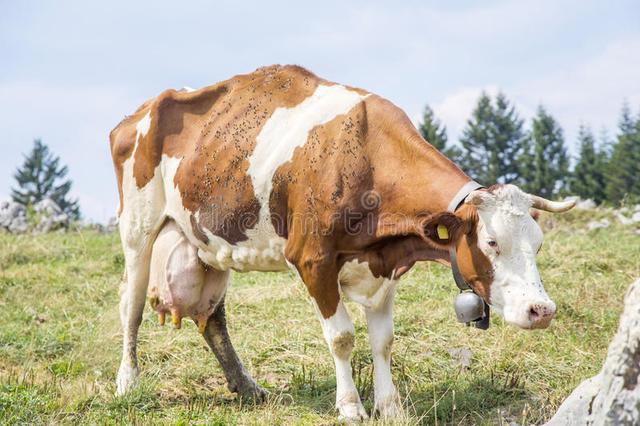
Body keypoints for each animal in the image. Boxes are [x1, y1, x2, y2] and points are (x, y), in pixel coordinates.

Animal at [110, 65, 576, 422]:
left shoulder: (385, 265)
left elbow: (383, 340)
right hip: (138, 228)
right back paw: (127, 382)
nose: (542, 310)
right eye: (492, 242)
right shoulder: (313, 260)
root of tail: (141, 112)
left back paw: (246, 386)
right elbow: (342, 337)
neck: (364, 158)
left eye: (537, 244)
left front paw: (390, 407)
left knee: (211, 317)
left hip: (209, 243)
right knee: (131, 305)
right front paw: (351, 407)